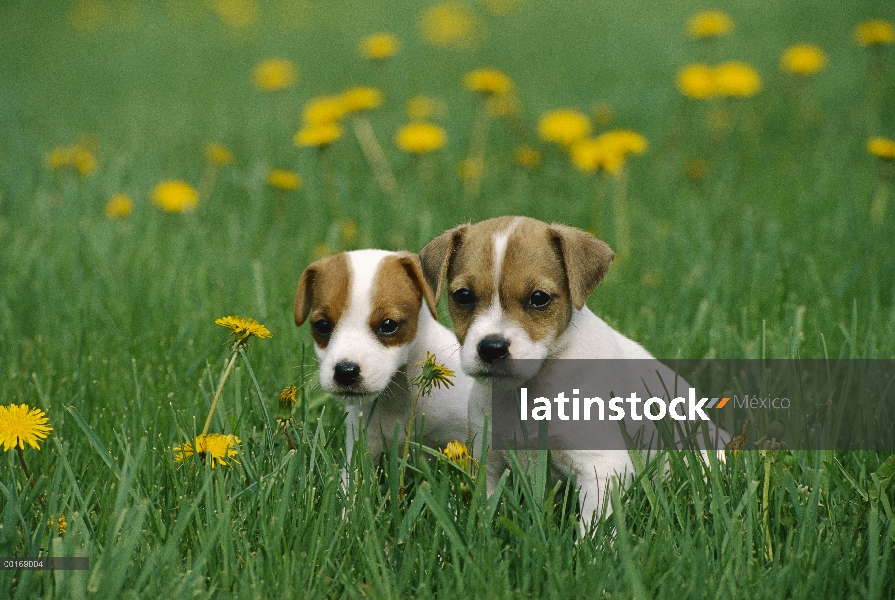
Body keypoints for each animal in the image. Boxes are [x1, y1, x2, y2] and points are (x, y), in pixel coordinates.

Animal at [424, 214, 724, 528]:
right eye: (463, 296)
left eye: (539, 297)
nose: (492, 348)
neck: (530, 390)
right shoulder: (489, 461)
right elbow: (486, 507)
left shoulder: (601, 467)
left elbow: (594, 525)